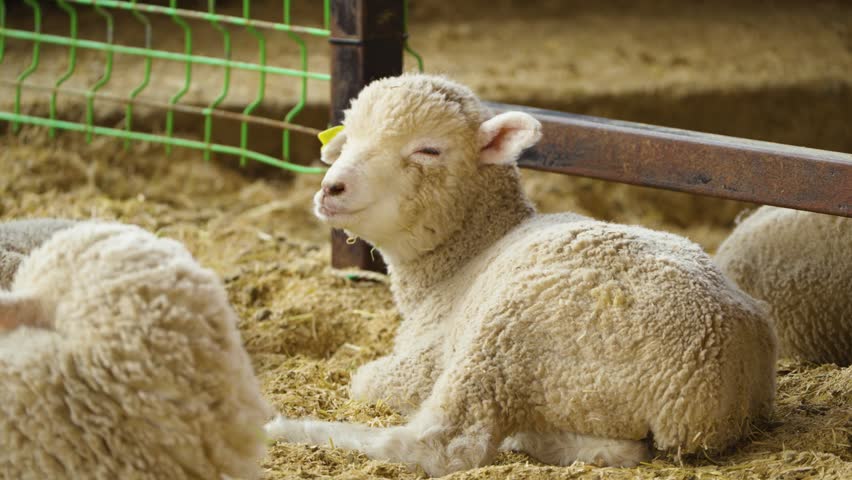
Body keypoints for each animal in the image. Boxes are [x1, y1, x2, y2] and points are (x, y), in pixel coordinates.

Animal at [265, 73, 778, 476]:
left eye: (429, 150)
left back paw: (283, 426)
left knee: (443, 445)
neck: (465, 256)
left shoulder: (422, 363)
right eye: (347, 138)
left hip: (509, 339)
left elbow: (364, 380)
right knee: (616, 450)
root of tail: (701, 396)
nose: (331, 188)